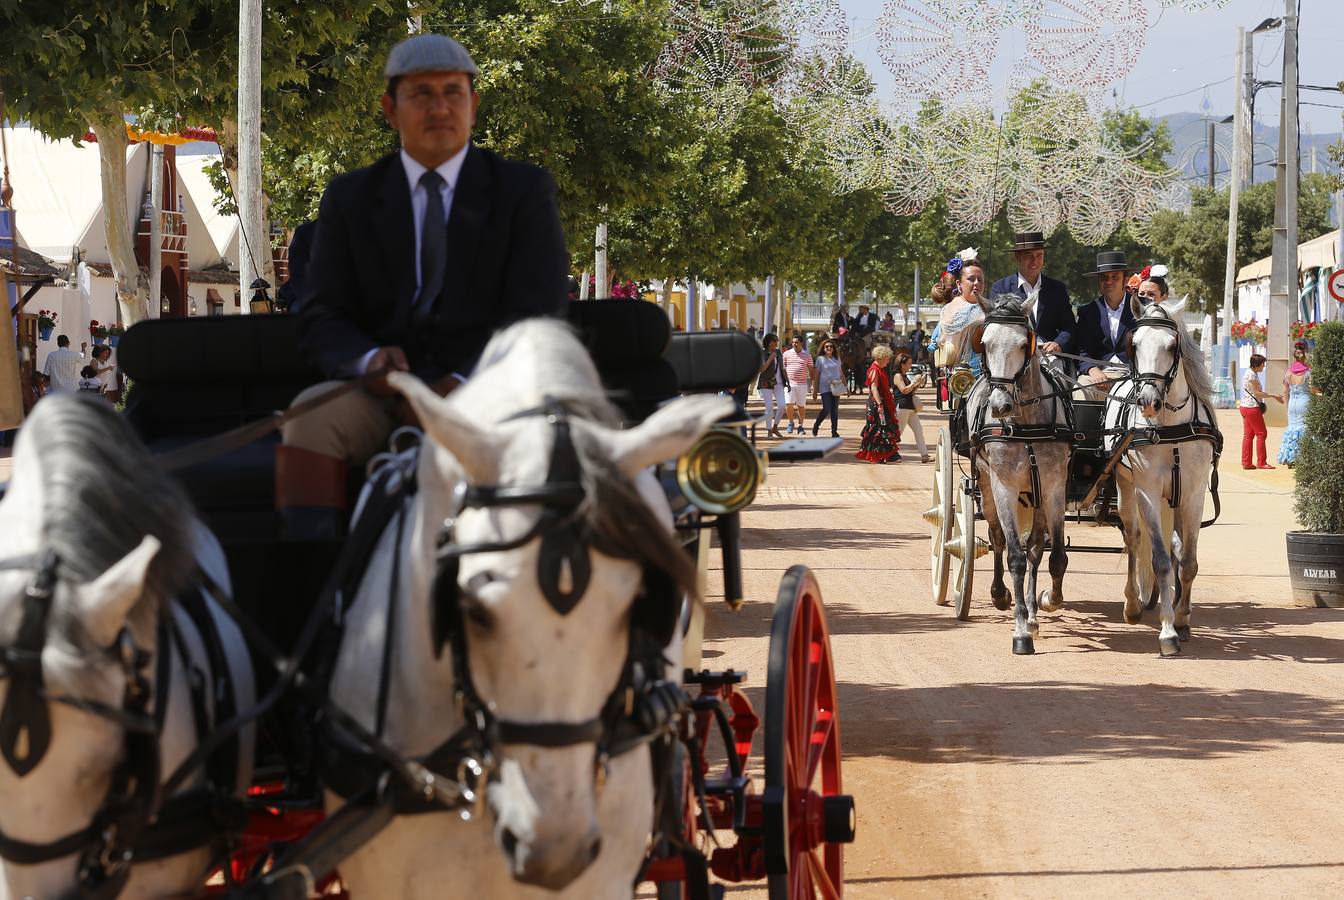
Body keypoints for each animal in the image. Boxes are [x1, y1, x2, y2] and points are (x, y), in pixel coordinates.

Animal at [967, 294, 1069, 655]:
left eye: (1025, 344)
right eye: (983, 343)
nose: (999, 406)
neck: (1026, 424)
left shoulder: (1054, 487)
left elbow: (1056, 557)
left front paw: (1048, 601)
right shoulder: (1004, 486)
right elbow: (1014, 556)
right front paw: (1021, 630)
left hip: (1036, 496)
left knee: (1037, 548)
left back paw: (1034, 613)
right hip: (986, 488)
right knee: (997, 538)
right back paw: (1001, 596)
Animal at [1102, 295, 1220, 655]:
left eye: (1172, 345)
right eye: (1135, 344)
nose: (1148, 401)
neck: (1170, 428)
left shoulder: (1193, 495)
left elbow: (1189, 562)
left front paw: (1181, 619)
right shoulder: (1149, 493)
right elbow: (1161, 562)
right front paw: (1167, 632)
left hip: (1176, 501)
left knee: (1176, 549)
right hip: (1127, 491)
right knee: (1134, 539)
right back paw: (1131, 605)